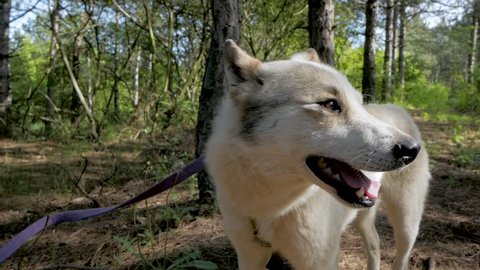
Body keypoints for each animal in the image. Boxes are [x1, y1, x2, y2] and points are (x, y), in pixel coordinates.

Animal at [204, 40, 430, 270]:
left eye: (360, 105)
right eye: (330, 104)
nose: (412, 150)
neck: (274, 209)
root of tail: (396, 108)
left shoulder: (320, 261)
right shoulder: (249, 257)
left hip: (407, 222)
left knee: (400, 257)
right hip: (363, 215)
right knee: (375, 243)